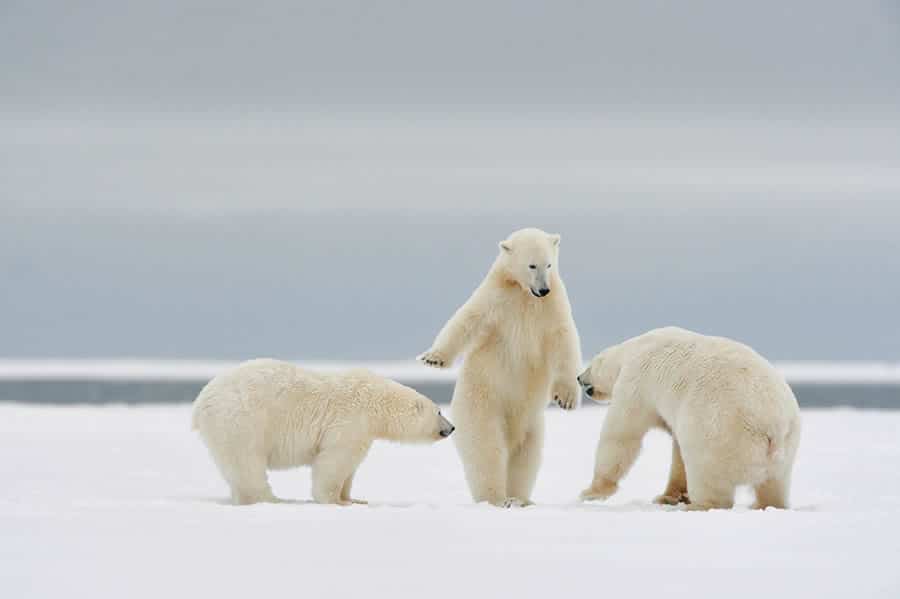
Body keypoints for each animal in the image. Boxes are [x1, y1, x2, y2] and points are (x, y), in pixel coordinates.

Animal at [192, 360, 454, 506]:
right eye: (440, 411)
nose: (451, 428)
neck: (376, 401)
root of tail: (200, 402)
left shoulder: (364, 430)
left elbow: (350, 467)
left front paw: (353, 498)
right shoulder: (350, 420)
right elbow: (335, 461)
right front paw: (335, 501)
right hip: (241, 421)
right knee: (248, 464)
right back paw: (272, 499)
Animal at [416, 227, 580, 508]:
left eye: (549, 264)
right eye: (532, 265)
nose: (543, 289)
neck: (524, 294)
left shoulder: (553, 307)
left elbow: (564, 341)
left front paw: (566, 398)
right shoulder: (496, 299)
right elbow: (466, 319)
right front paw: (433, 358)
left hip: (532, 423)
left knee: (526, 457)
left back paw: (520, 498)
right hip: (483, 403)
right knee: (487, 448)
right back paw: (497, 498)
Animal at [576, 328, 800, 510]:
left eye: (590, 366)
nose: (578, 377)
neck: (635, 347)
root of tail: (773, 427)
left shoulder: (636, 381)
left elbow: (622, 433)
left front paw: (591, 492)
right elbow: (677, 451)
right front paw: (668, 496)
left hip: (719, 431)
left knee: (705, 470)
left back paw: (699, 505)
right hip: (787, 447)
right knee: (774, 484)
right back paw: (764, 504)